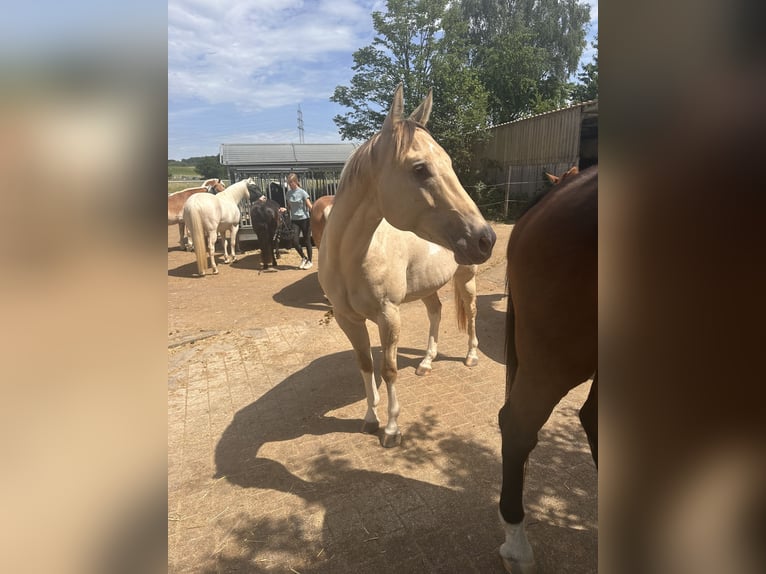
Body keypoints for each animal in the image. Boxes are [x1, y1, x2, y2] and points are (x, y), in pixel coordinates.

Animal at [317, 83, 496, 447]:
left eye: (448, 163)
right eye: (420, 168)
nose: (486, 239)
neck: (349, 256)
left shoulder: (389, 316)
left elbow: (388, 370)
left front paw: (391, 429)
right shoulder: (347, 319)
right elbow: (365, 365)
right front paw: (370, 419)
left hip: (466, 279)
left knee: (471, 313)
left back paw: (471, 355)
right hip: (428, 286)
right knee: (436, 311)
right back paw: (427, 361)